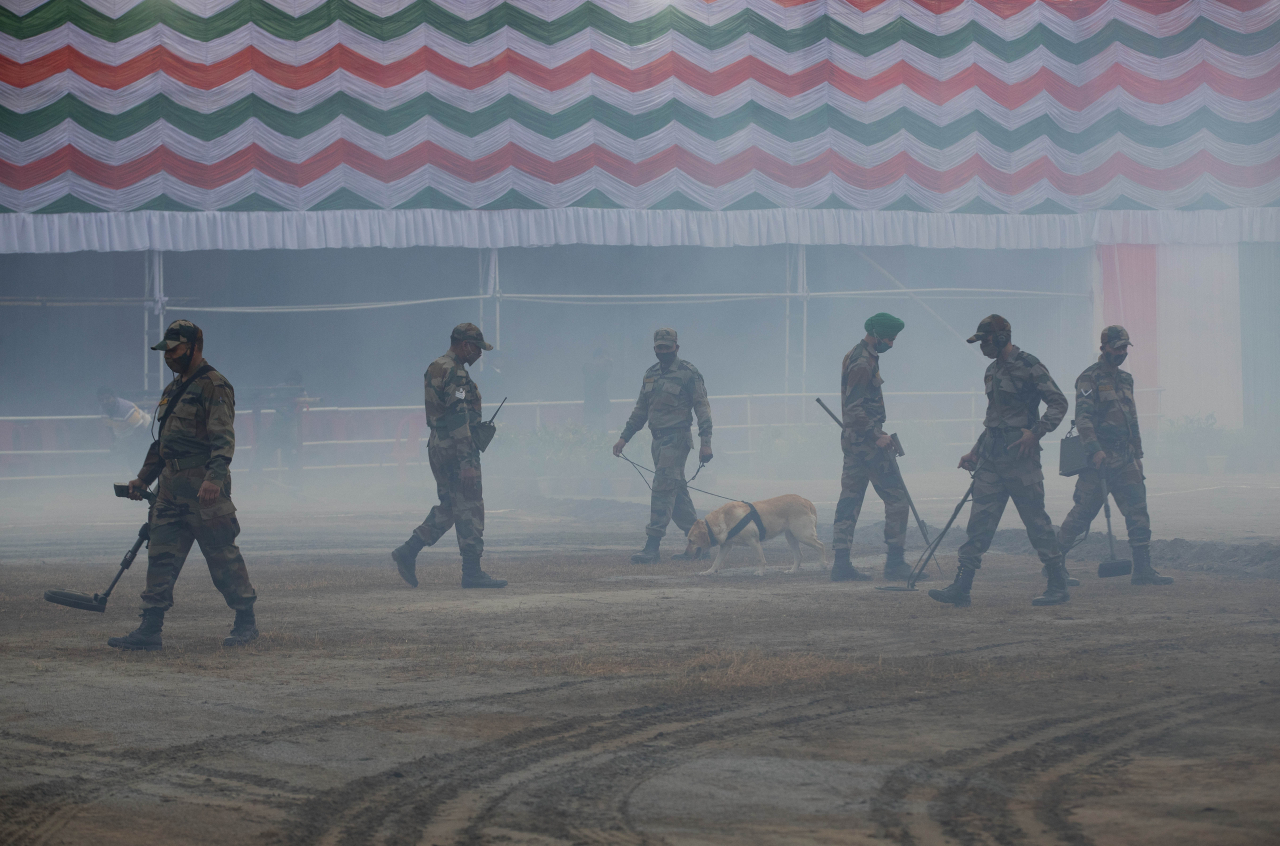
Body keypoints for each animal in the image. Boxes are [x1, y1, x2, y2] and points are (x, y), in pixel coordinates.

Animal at [680, 491, 829, 578]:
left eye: (691, 540)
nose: (685, 554)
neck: (723, 521)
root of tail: (806, 501)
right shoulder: (726, 546)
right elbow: (716, 562)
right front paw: (708, 572)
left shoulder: (753, 541)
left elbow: (760, 559)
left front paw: (761, 573)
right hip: (791, 537)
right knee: (799, 555)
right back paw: (792, 571)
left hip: (803, 535)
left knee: (821, 546)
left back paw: (823, 564)